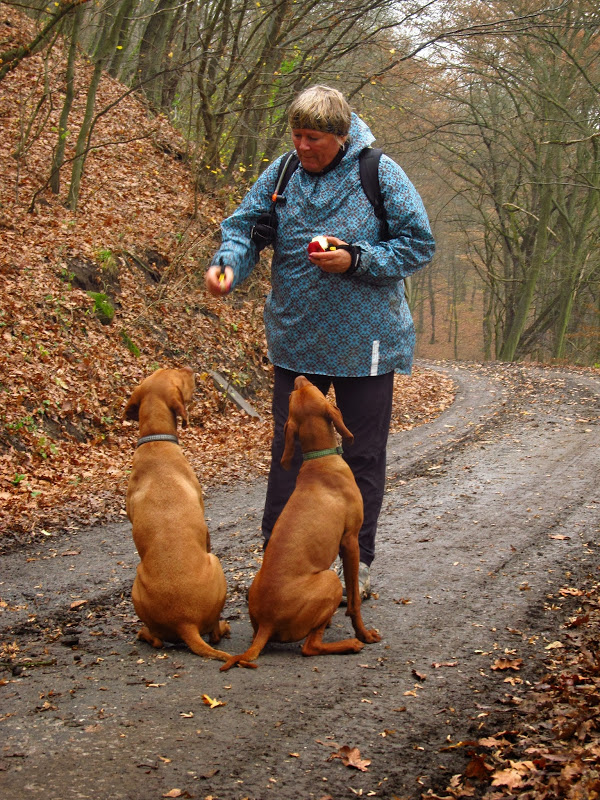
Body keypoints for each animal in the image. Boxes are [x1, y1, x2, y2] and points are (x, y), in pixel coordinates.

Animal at [124, 368, 237, 664]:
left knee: (157, 639)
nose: (191, 369)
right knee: (213, 633)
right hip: (216, 563)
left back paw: (144, 633)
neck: (156, 440)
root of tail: (184, 621)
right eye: (178, 377)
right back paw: (223, 626)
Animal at [220, 376, 380, 668]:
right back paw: (350, 644)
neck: (320, 460)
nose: (299, 377)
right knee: (310, 647)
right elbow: (354, 601)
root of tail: (267, 623)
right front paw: (363, 633)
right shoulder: (350, 540)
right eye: (311, 389)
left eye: (298, 392)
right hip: (330, 579)